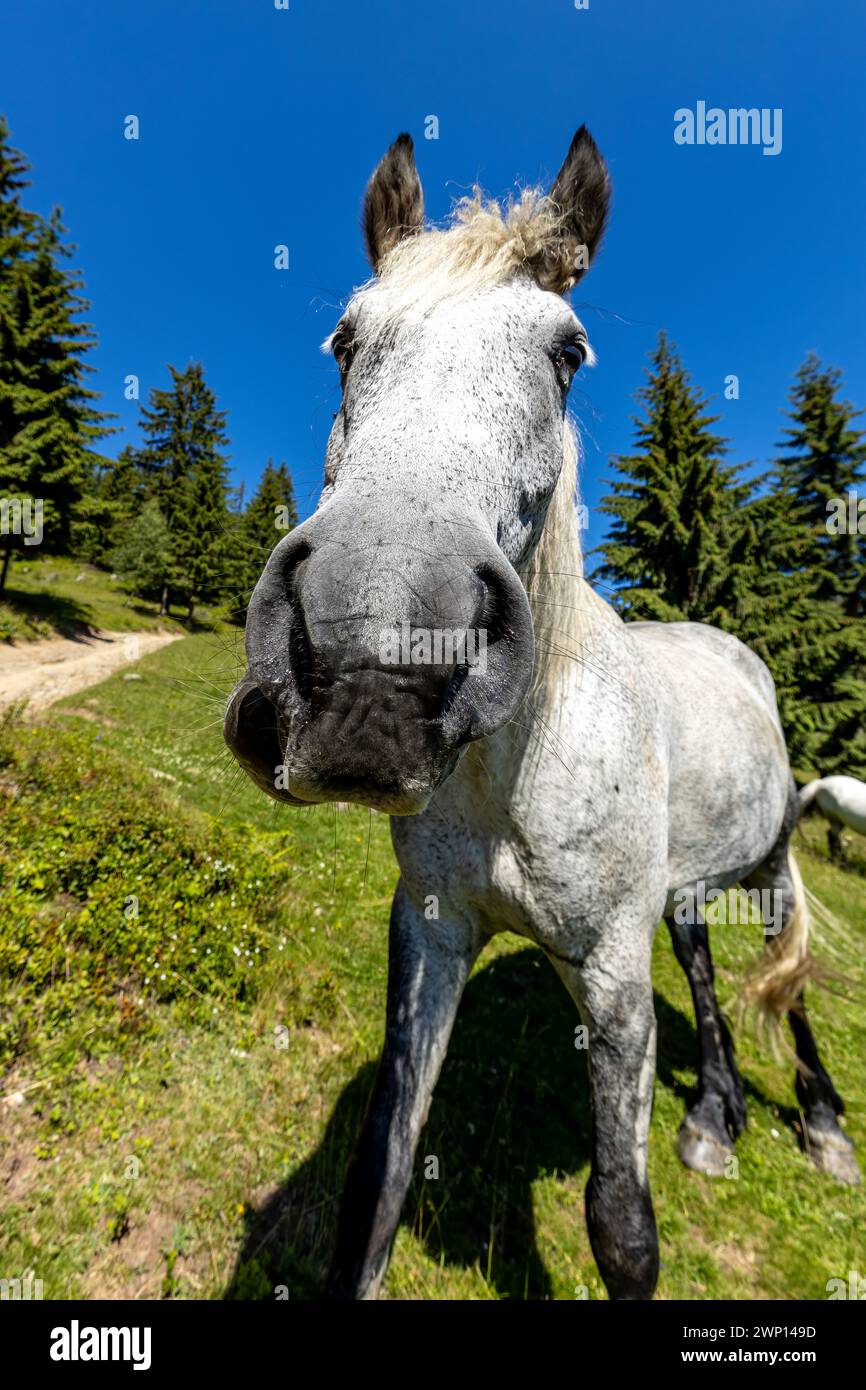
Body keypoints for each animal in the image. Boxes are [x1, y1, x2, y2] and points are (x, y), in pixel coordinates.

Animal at [223, 126, 859, 1299]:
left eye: (567, 353)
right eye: (345, 339)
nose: (377, 662)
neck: (515, 770)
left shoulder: (609, 972)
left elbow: (622, 1226)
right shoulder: (429, 934)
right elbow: (378, 1183)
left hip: (772, 866)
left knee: (784, 987)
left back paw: (822, 1124)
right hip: (688, 889)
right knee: (705, 969)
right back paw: (715, 1116)